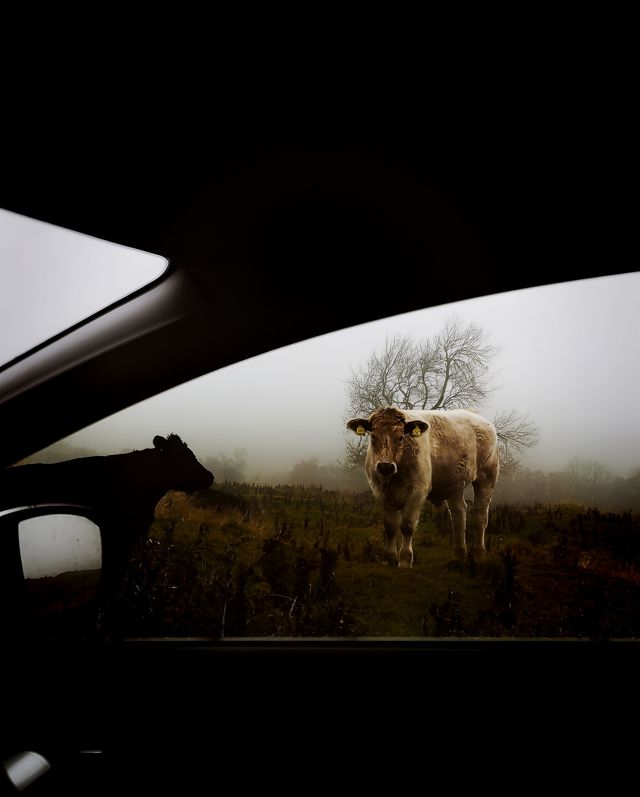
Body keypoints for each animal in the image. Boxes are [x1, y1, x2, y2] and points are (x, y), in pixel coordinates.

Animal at [344, 410, 500, 564]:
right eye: (373, 436)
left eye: (401, 437)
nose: (385, 466)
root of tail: (485, 422)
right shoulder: (379, 492)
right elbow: (390, 527)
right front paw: (390, 558)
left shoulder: (418, 491)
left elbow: (407, 525)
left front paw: (405, 560)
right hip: (455, 483)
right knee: (458, 513)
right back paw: (459, 555)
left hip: (487, 476)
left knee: (480, 514)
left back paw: (479, 554)